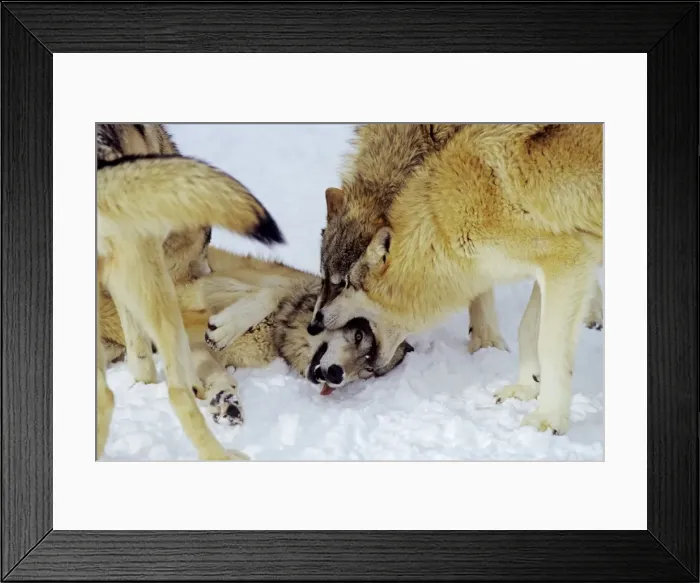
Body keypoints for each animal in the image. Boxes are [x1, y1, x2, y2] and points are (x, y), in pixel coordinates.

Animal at [97, 130, 284, 461]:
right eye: (204, 245)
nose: (206, 267)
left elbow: (141, 359)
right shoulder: (181, 289)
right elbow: (271, 289)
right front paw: (222, 332)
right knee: (176, 392)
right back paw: (223, 454)